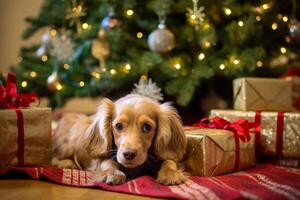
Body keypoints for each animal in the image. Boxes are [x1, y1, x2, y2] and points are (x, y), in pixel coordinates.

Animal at [52, 94, 188, 185]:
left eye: (147, 127)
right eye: (118, 126)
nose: (128, 154)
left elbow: (169, 161)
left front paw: (170, 173)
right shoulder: (102, 158)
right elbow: (107, 163)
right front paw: (113, 173)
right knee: (55, 157)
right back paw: (67, 163)